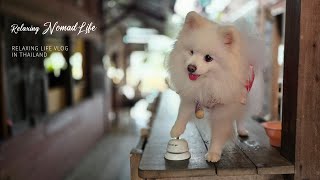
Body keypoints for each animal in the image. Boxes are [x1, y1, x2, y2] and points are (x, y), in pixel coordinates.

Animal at [166, 11, 266, 162]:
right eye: (191, 52)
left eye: (208, 58)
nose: (191, 68)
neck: (207, 82)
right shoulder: (192, 96)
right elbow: (182, 113)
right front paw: (176, 129)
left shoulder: (223, 111)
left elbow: (218, 135)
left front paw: (213, 153)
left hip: (245, 99)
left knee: (240, 117)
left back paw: (241, 130)